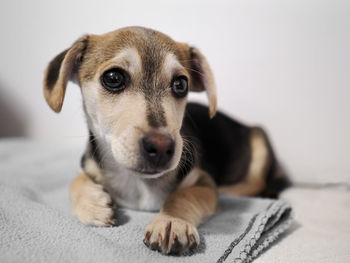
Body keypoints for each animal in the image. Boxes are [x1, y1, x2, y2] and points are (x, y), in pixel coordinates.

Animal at [43, 26, 290, 256]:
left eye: (181, 84)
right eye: (113, 78)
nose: (162, 147)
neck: (138, 183)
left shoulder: (203, 181)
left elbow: (183, 195)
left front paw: (171, 221)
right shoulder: (89, 162)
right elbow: (75, 180)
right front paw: (93, 204)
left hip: (260, 140)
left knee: (255, 184)